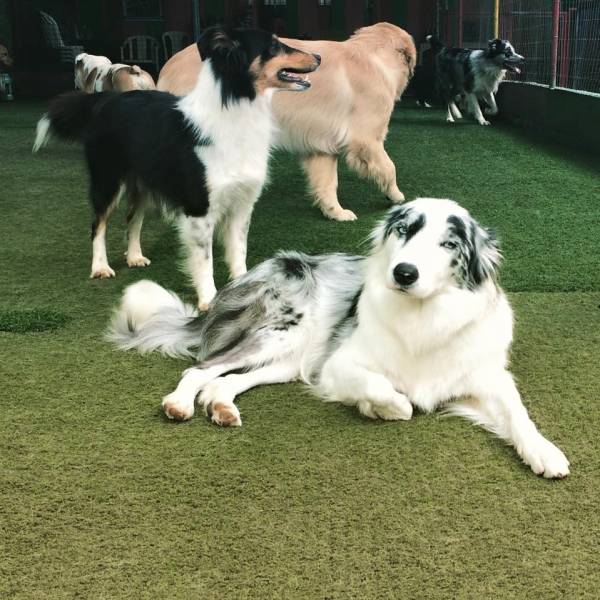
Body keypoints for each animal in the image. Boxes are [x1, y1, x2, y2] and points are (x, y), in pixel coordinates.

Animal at [34, 27, 318, 310]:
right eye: (273, 46)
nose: (318, 57)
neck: (235, 109)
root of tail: (104, 101)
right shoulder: (199, 208)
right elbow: (205, 260)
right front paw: (208, 300)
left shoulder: (242, 204)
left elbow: (239, 252)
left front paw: (243, 290)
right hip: (108, 181)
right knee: (98, 224)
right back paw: (100, 267)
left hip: (143, 185)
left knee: (132, 219)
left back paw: (134, 257)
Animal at [109, 199, 572, 480]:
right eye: (403, 231)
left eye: (448, 244)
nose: (405, 272)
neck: (423, 318)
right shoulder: (337, 365)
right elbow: (391, 394)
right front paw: (381, 408)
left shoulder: (487, 377)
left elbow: (518, 413)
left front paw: (544, 451)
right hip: (281, 334)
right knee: (200, 367)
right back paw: (180, 403)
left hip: (291, 359)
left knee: (226, 380)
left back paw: (220, 406)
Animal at [157, 21, 414, 223]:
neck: (374, 58)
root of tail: (167, 67)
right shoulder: (366, 140)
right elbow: (389, 167)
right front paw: (396, 196)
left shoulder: (321, 148)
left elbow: (328, 185)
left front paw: (335, 212)